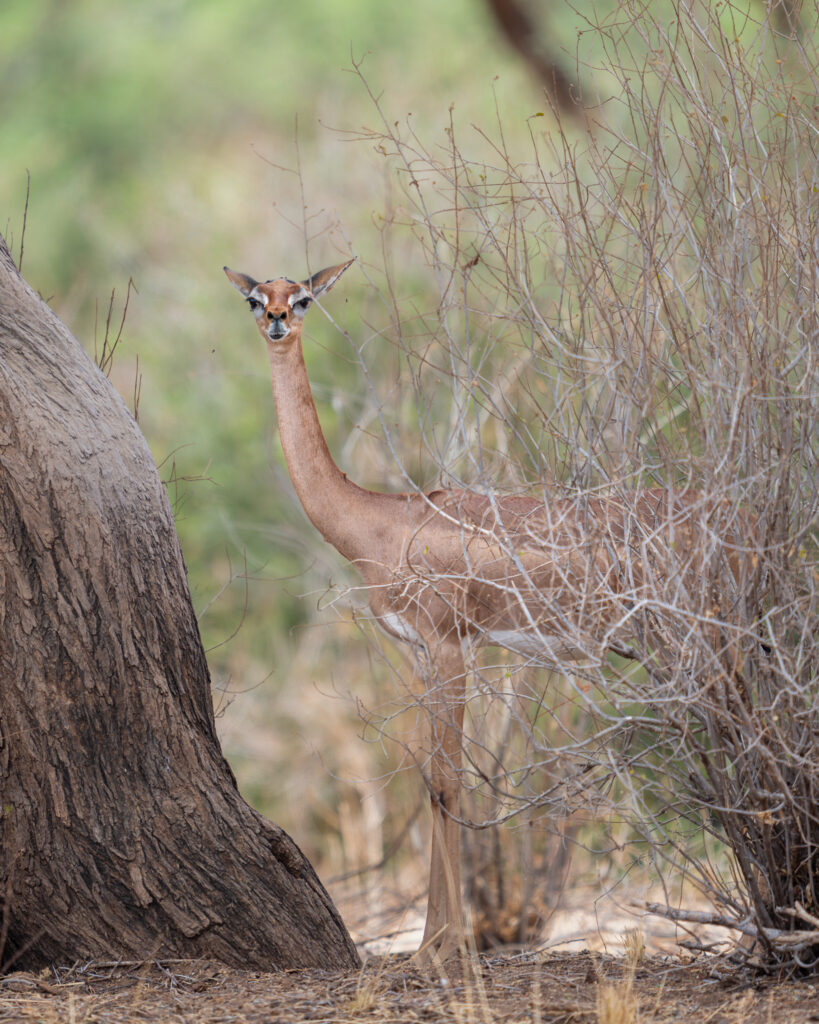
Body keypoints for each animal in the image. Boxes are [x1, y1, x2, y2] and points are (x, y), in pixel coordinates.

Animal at [224, 258, 753, 963]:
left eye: (304, 297)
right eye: (256, 299)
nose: (279, 322)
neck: (380, 523)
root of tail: (731, 515)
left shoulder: (452, 647)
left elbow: (450, 783)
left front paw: (437, 950)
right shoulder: (423, 656)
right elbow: (433, 785)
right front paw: (438, 944)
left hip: (706, 645)